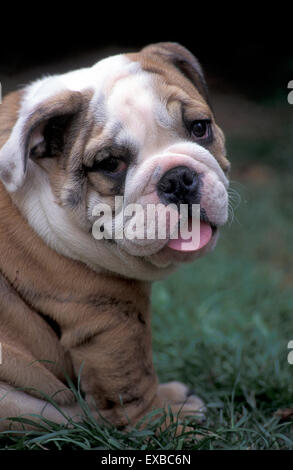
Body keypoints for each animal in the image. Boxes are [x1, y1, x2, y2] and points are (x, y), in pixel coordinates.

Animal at [0, 42, 229, 432]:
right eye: (110, 164)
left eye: (200, 128)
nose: (178, 179)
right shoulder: (109, 318)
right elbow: (133, 381)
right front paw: (168, 423)